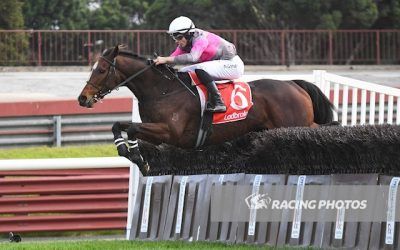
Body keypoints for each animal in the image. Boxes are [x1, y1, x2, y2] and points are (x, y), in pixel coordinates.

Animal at [77, 45, 334, 173]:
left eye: (101, 70)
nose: (82, 98)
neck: (162, 90)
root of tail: (294, 84)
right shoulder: (155, 132)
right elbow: (118, 124)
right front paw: (125, 150)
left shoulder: (170, 132)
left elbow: (130, 129)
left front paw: (138, 157)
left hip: (294, 123)